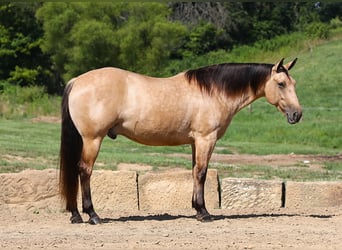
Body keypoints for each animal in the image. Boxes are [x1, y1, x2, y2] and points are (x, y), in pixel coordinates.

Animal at [59, 58, 302, 225]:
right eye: (281, 84)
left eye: (294, 83)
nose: (297, 115)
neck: (213, 92)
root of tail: (76, 81)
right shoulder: (206, 139)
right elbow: (202, 173)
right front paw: (204, 213)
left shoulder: (195, 142)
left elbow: (195, 172)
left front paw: (196, 209)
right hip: (93, 140)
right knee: (84, 171)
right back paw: (92, 215)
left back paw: (76, 215)